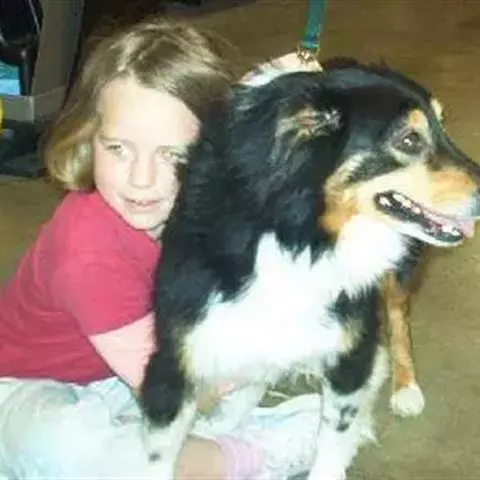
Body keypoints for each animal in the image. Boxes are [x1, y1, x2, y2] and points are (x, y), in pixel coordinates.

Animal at [140, 59, 480, 479]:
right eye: (409, 140)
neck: (300, 235)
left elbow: (333, 444)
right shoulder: (176, 354)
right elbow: (159, 454)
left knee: (399, 318)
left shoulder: (352, 354)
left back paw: (406, 388)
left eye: (442, 127)